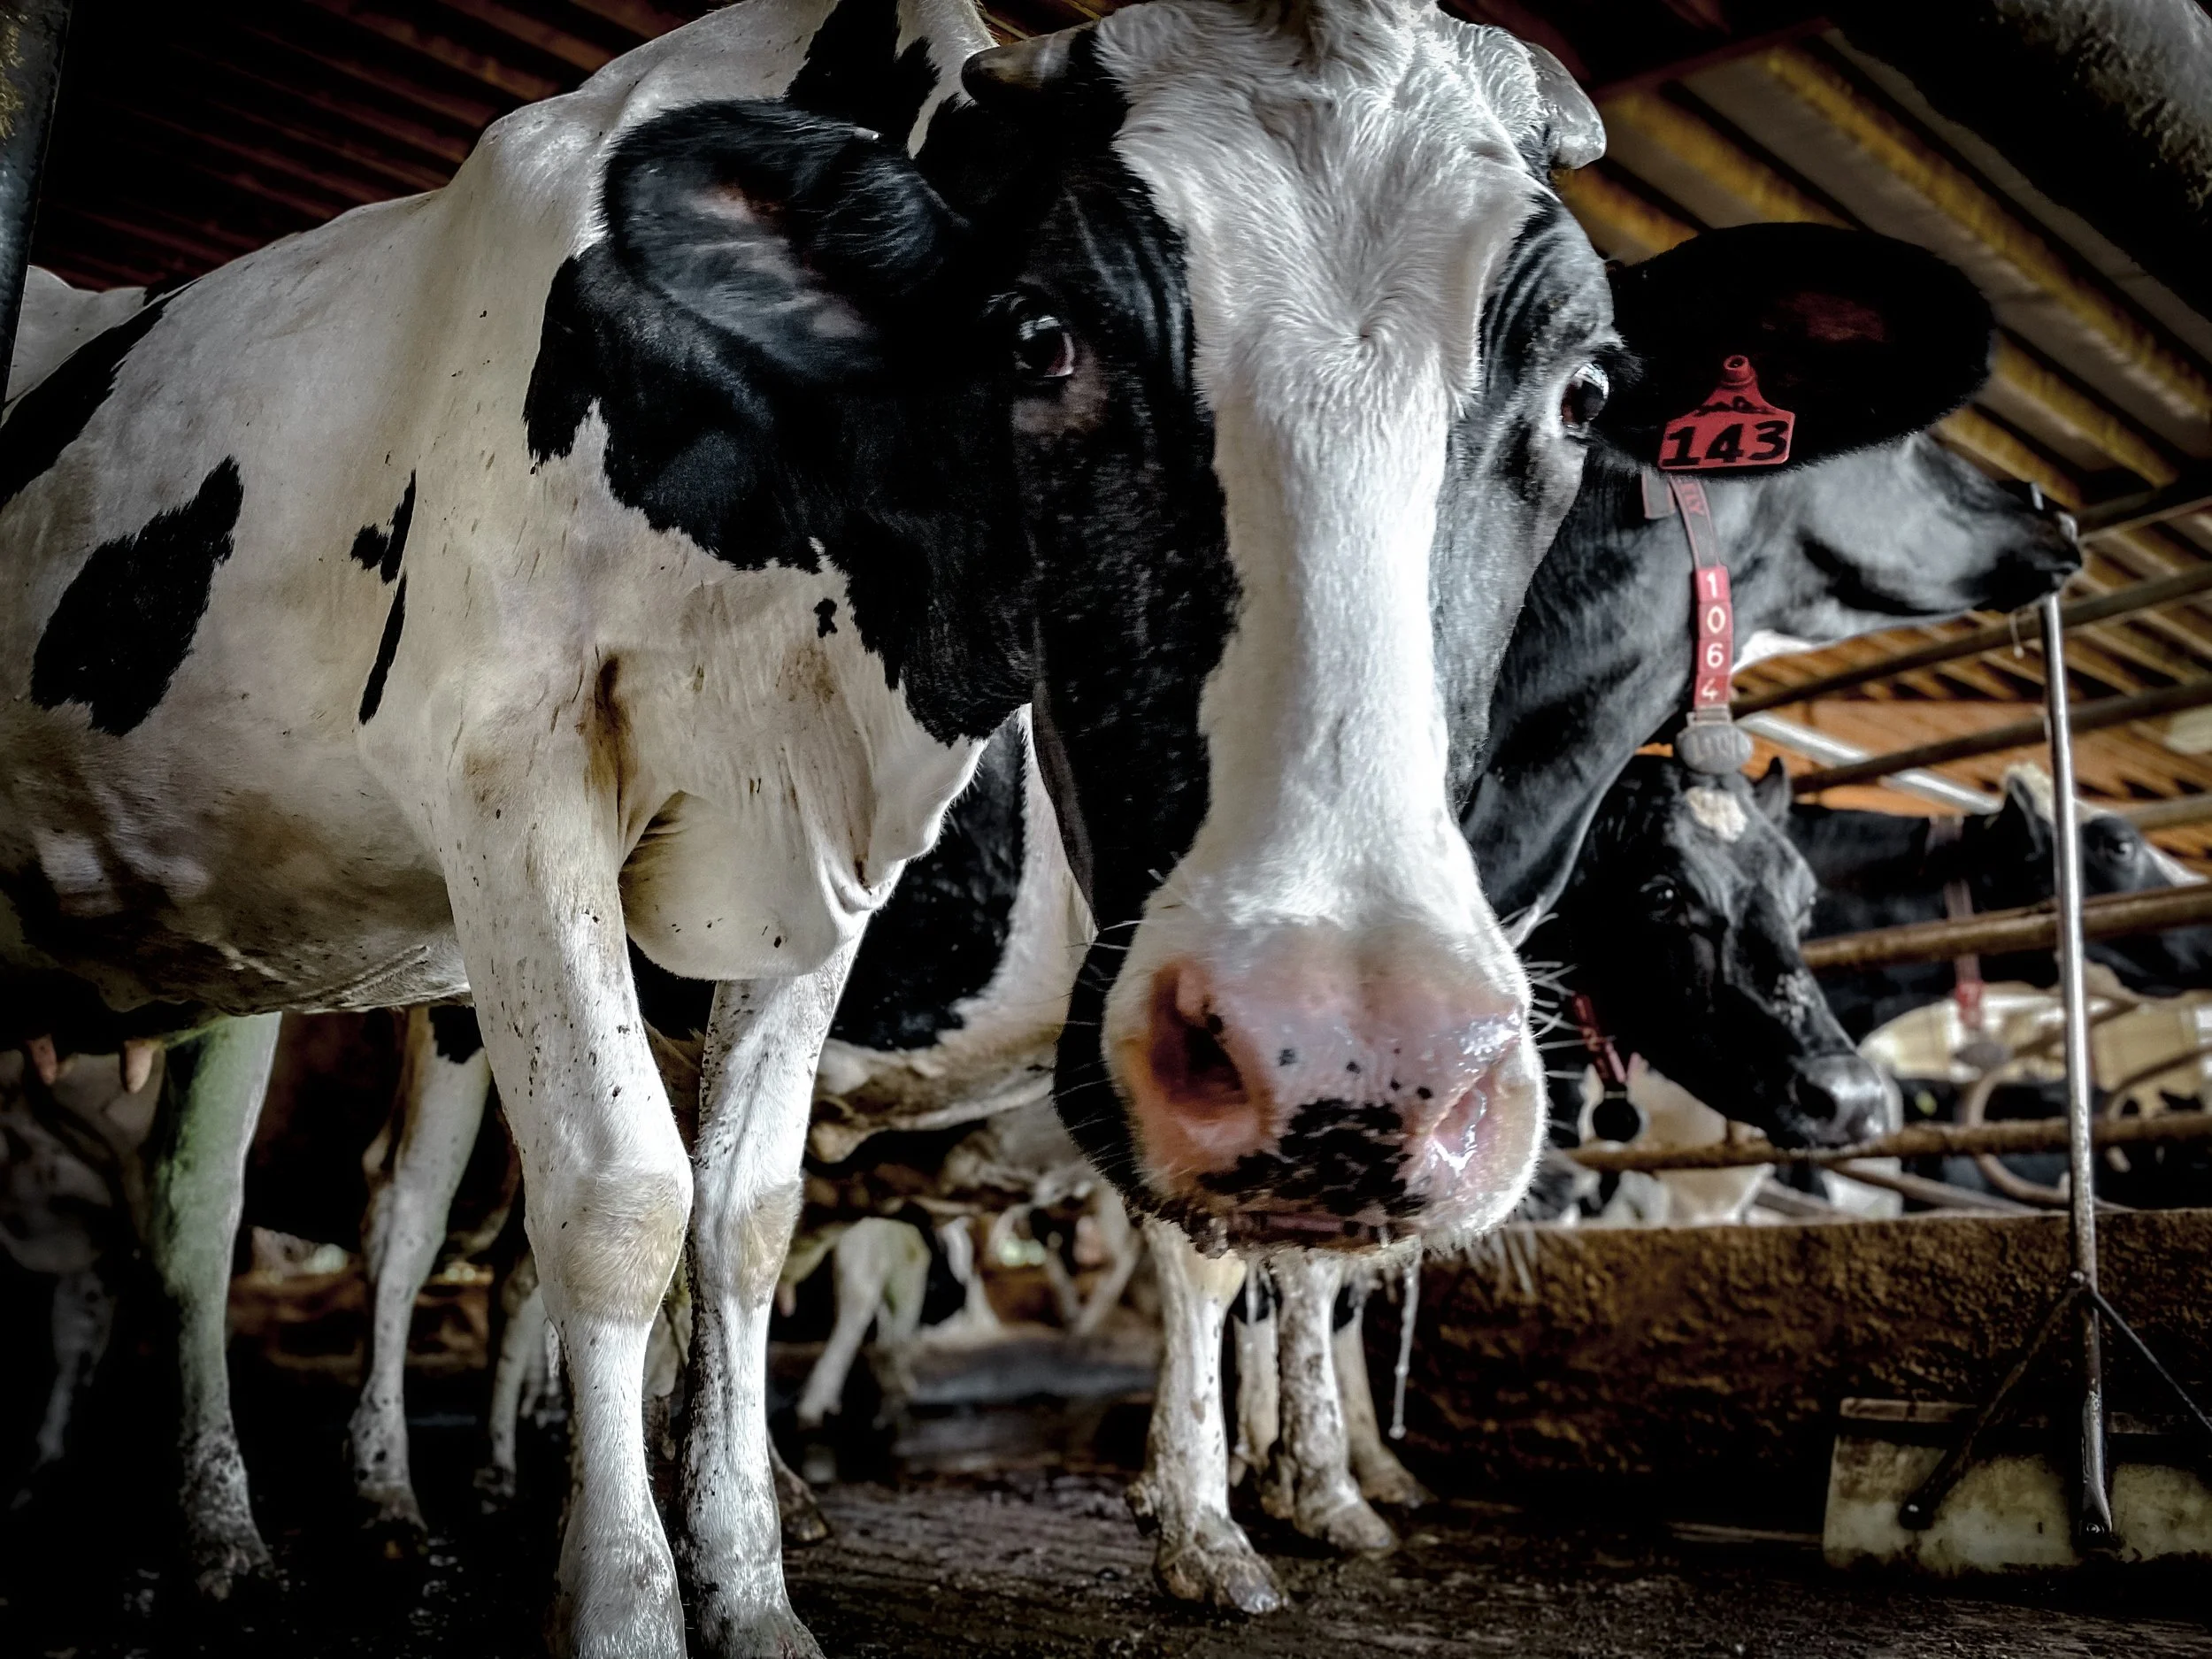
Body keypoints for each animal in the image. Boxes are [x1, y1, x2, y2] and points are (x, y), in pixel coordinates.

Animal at [0, 0, 1632, 1649]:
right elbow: (620, 1202)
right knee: (314, 1220)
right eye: (1040, 337)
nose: (1361, 1054)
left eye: (1583, 395)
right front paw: (629, 1602)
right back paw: (313, 1517)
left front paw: (748, 1580)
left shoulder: (825, 861)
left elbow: (744, 1218)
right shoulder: (508, 764)